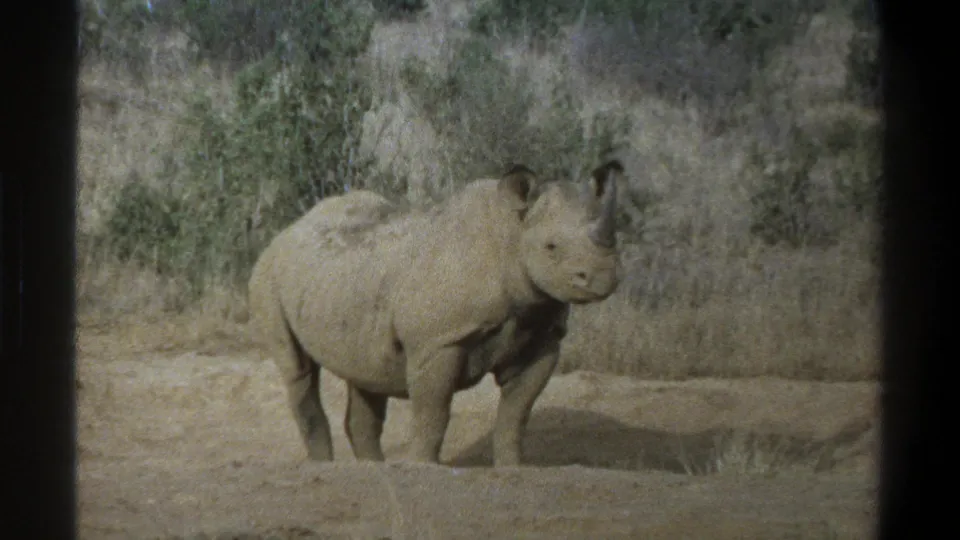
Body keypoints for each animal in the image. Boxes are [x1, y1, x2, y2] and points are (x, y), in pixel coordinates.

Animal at [247, 159, 624, 466]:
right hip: (268, 275)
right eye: (551, 247)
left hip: (343, 281)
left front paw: (512, 468)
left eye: (616, 238)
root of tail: (289, 230)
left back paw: (372, 468)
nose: (602, 277)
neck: (512, 235)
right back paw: (324, 466)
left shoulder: (542, 334)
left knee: (365, 372)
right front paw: (423, 467)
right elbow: (434, 411)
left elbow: (516, 414)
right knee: (298, 370)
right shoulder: (438, 341)